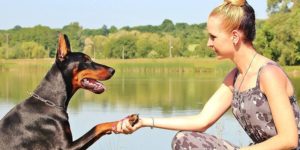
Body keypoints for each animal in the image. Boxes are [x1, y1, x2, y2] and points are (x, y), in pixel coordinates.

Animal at [0, 34, 138, 150]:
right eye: (86, 60)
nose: (113, 70)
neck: (50, 102)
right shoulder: (65, 147)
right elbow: (98, 126)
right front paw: (126, 120)